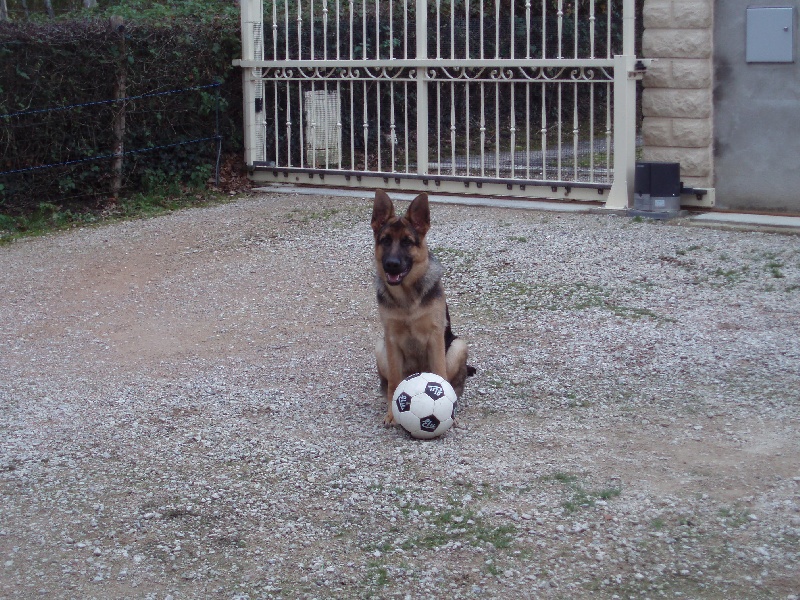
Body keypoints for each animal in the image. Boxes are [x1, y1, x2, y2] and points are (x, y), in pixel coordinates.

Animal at [372, 190, 472, 424]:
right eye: (385, 240)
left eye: (407, 242)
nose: (391, 264)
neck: (407, 296)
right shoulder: (391, 339)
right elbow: (394, 383)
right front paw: (392, 413)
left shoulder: (435, 337)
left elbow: (440, 374)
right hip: (380, 348)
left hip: (458, 346)